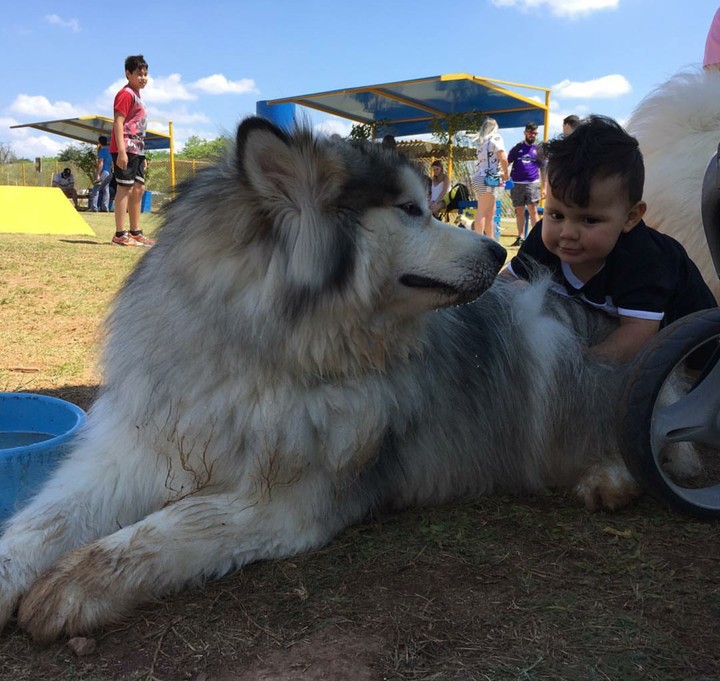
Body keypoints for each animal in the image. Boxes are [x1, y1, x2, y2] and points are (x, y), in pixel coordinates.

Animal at [0, 117, 648, 644]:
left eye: (425, 204)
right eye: (409, 210)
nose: (497, 252)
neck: (266, 354)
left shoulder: (290, 501)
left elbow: (176, 523)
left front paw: (74, 585)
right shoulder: (143, 446)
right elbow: (47, 519)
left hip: (543, 339)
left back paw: (609, 479)